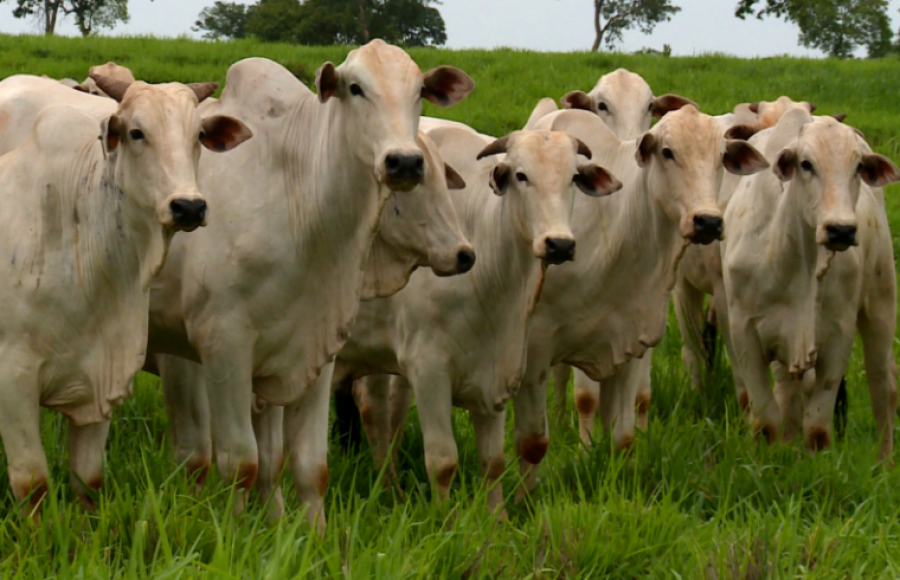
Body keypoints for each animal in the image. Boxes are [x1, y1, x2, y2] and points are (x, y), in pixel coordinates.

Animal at [0, 75, 250, 516]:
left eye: (198, 136)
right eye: (137, 132)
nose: (189, 207)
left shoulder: (100, 376)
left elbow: (88, 480)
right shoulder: (13, 378)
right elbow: (33, 485)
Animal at [141, 40, 474, 532]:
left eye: (419, 92)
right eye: (355, 88)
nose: (405, 161)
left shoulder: (315, 351)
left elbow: (307, 465)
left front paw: (309, 534)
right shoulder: (224, 348)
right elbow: (241, 462)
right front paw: (235, 532)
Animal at [326, 128, 624, 512]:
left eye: (573, 177)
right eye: (521, 175)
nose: (559, 244)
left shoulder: (495, 371)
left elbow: (493, 461)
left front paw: (496, 517)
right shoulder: (428, 370)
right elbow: (442, 461)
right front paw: (443, 518)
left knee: (373, 408)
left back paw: (390, 488)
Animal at [512, 105, 768, 494]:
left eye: (721, 157)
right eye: (668, 152)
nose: (708, 222)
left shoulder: (628, 339)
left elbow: (623, 434)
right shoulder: (541, 341)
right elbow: (572, 408)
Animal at [724, 110, 900, 462]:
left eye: (858, 167)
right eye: (806, 164)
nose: (841, 230)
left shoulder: (837, 336)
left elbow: (817, 428)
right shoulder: (744, 332)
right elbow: (767, 422)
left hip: (881, 302)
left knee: (883, 382)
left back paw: (884, 461)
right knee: (789, 394)